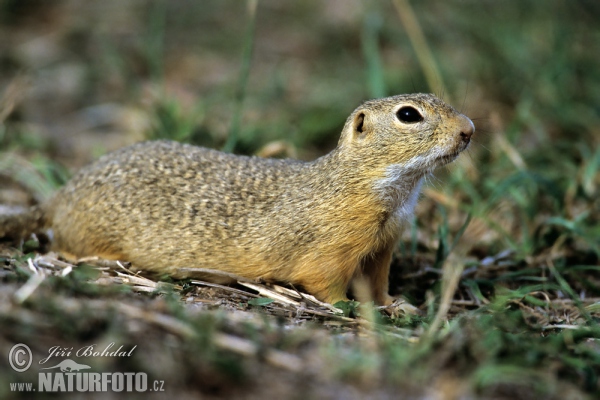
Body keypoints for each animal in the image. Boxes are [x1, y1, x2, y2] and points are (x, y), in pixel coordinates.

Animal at [2, 94, 476, 304]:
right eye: (409, 115)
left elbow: (378, 284)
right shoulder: (331, 249)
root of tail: (58, 197)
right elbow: (325, 284)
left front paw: (394, 307)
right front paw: (348, 309)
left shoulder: (383, 247)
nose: (469, 129)